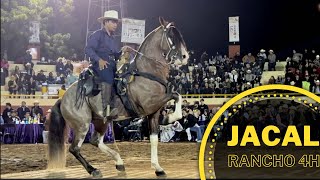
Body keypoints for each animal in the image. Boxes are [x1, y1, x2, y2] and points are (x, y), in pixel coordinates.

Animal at [46, 16, 189, 177]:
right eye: (171, 36)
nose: (185, 57)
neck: (146, 72)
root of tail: (62, 99)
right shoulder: (150, 104)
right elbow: (176, 95)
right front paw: (169, 118)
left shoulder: (153, 112)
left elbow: (154, 139)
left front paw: (158, 168)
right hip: (82, 125)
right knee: (75, 148)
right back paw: (94, 170)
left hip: (101, 122)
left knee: (95, 141)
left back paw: (119, 162)